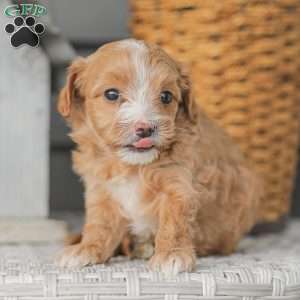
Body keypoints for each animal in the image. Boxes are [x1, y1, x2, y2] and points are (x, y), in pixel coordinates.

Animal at [56, 38, 260, 276]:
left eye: (166, 96)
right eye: (111, 94)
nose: (145, 129)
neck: (131, 165)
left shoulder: (178, 184)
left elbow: (174, 221)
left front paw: (172, 254)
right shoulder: (102, 189)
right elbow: (99, 223)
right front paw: (87, 248)